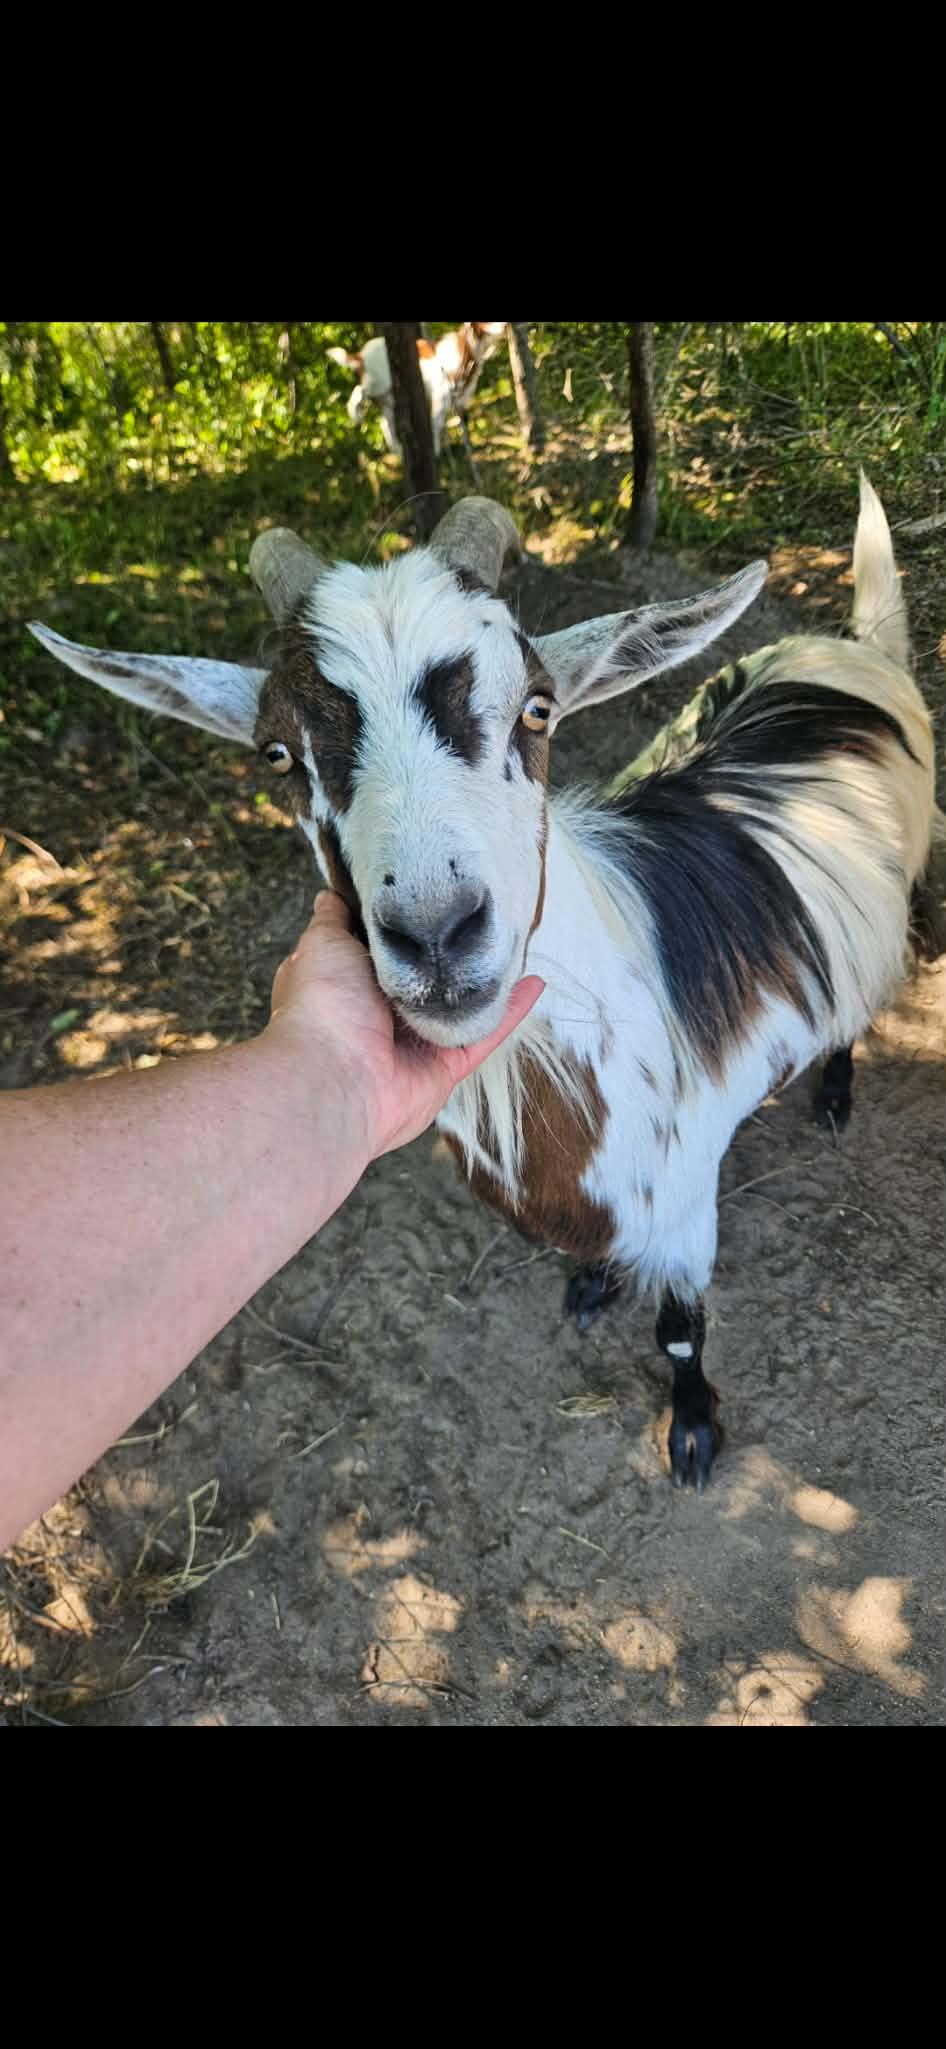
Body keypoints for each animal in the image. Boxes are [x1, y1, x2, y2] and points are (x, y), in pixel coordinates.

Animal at [29, 477, 936, 1491]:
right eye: (277, 754)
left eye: (538, 709)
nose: (435, 933)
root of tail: (853, 649)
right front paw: (594, 1286)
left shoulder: (683, 1205)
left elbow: (679, 1334)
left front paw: (694, 1431)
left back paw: (836, 1093)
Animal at [327, 325, 507, 458]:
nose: (505, 326)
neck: (466, 349)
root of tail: (360, 355)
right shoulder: (441, 394)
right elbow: (436, 423)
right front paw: (436, 451)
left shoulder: (457, 397)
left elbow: (459, 421)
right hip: (379, 383)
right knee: (360, 390)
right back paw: (355, 413)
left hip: (388, 398)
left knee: (385, 423)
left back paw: (398, 451)